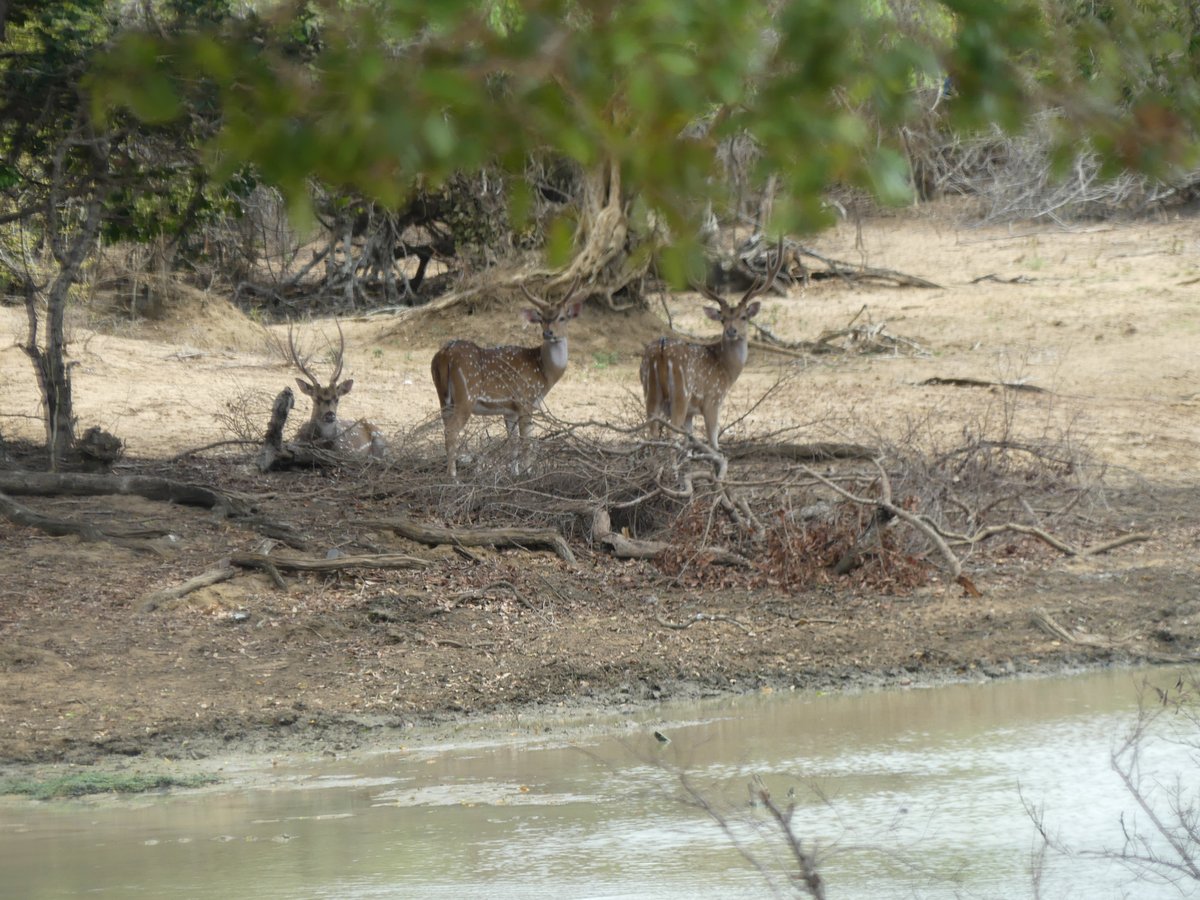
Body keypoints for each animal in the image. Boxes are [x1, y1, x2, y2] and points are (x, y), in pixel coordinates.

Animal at [431, 281, 585, 478]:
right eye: (541, 319)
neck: (544, 373)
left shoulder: (510, 409)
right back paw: (453, 477)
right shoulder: (525, 401)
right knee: (451, 430)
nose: (548, 333)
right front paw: (528, 473)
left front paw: (514, 473)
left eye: (563, 317)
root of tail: (444, 355)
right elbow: (527, 442)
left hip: (442, 397)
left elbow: (513, 442)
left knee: (445, 427)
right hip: (466, 396)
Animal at [640, 245, 787, 452]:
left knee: (651, 431)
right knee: (671, 432)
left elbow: (690, 438)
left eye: (743, 317)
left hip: (650, 391)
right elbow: (714, 441)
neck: (727, 370)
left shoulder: (691, 413)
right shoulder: (713, 399)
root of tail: (660, 352)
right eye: (723, 318)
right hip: (681, 393)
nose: (731, 331)